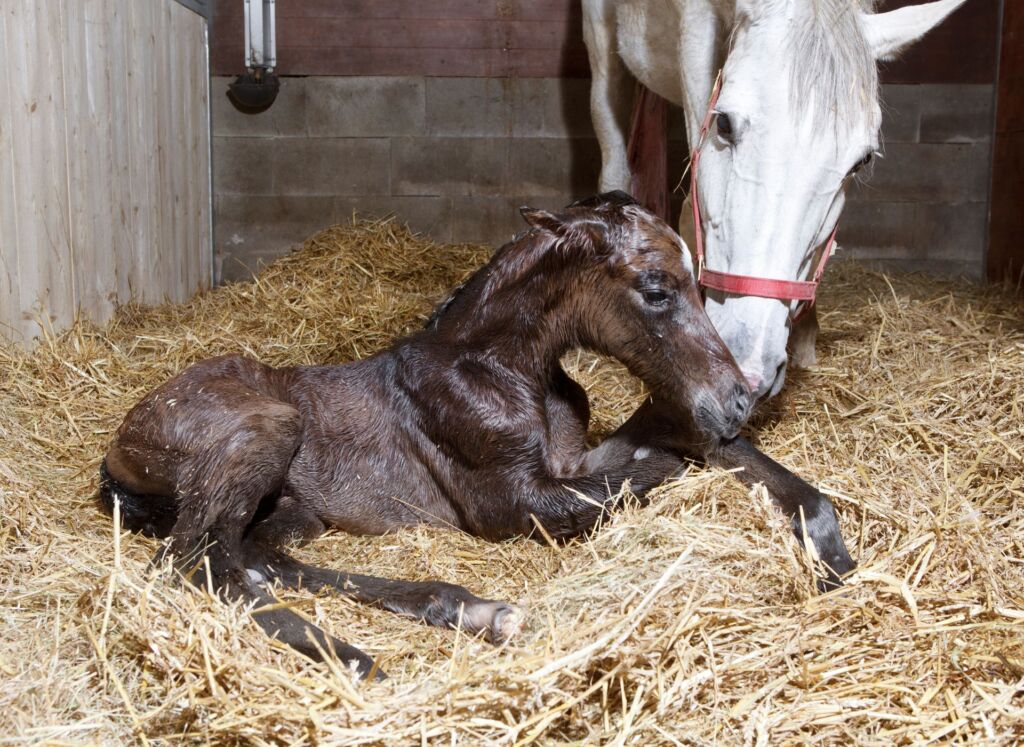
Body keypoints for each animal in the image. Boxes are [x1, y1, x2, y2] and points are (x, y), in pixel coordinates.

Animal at [99, 192, 856, 676]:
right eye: (655, 289)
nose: (737, 400)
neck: (498, 368)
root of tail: (116, 449)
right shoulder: (511, 502)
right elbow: (642, 475)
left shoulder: (571, 459)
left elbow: (671, 447)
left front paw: (833, 557)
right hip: (267, 427)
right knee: (190, 561)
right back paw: (355, 656)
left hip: (296, 510)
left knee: (255, 557)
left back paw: (468, 610)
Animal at [585, 0, 966, 401]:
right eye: (723, 124)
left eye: (861, 161)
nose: (750, 370)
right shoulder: (696, 37)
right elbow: (692, 212)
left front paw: (805, 339)